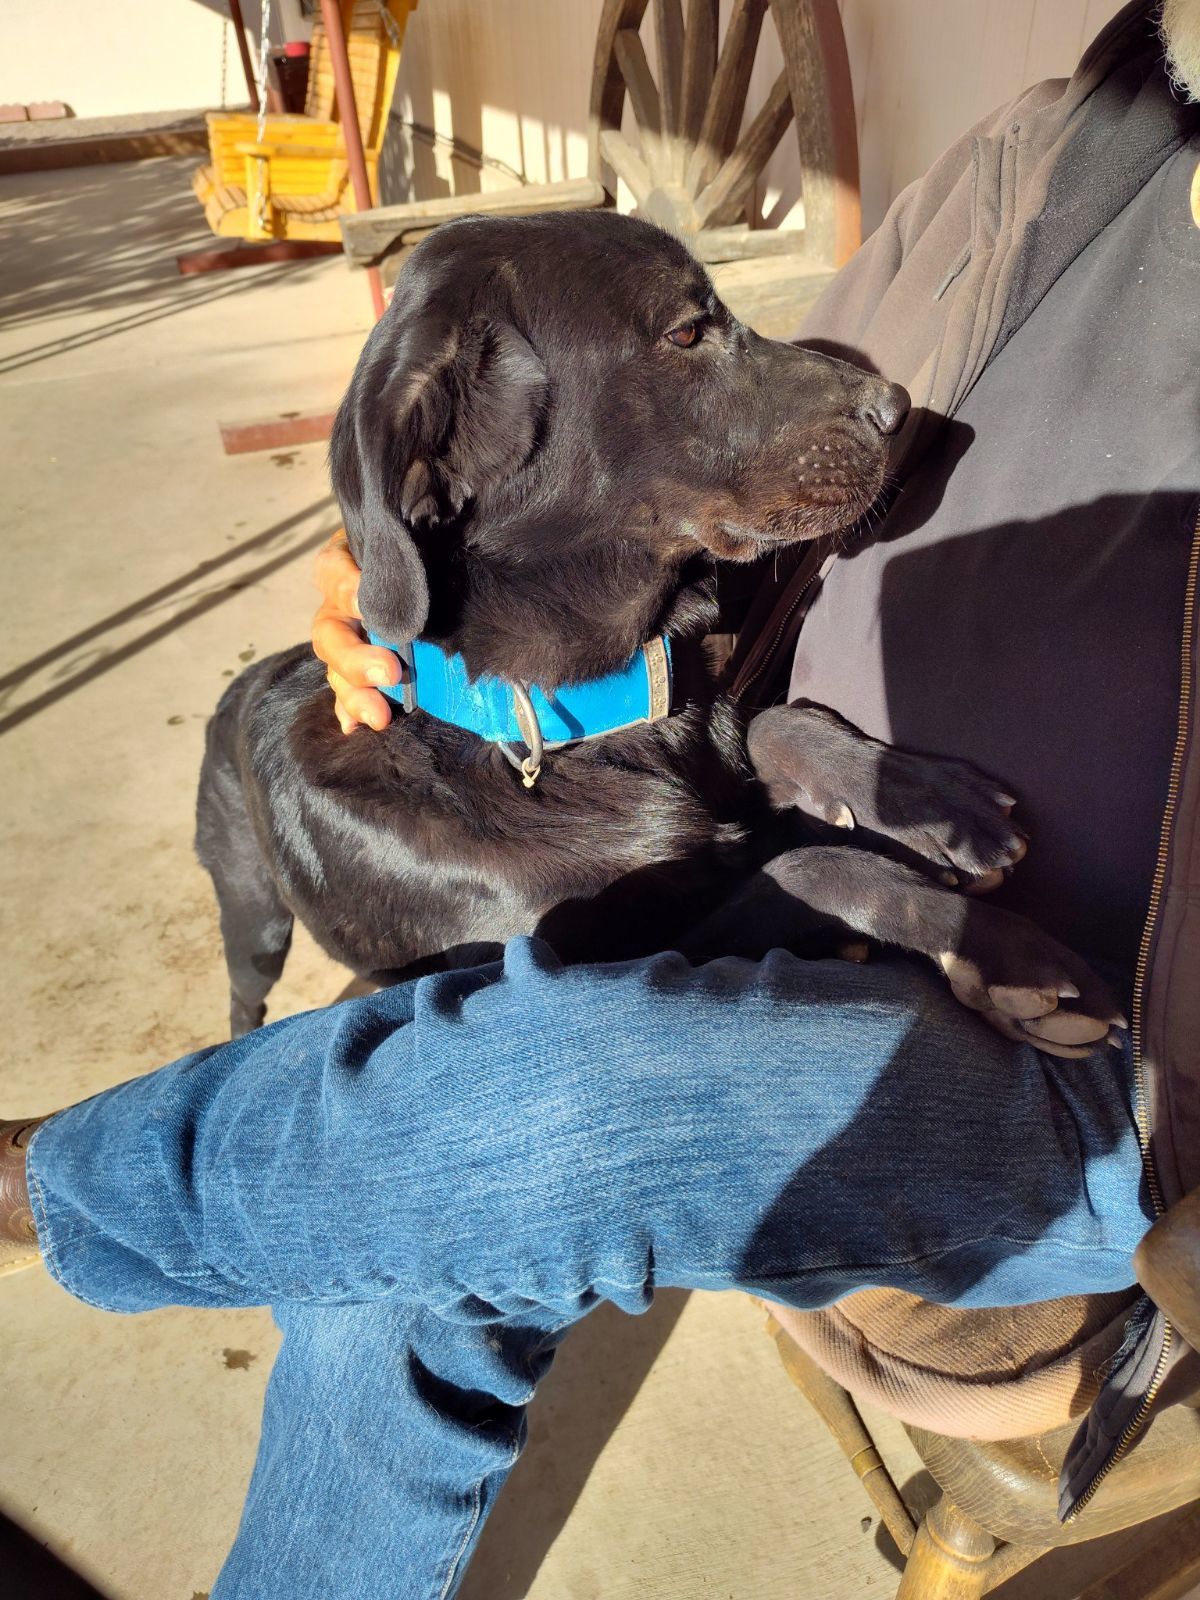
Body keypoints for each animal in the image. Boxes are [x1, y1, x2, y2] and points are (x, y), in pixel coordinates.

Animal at [195, 206, 1120, 1043]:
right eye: (685, 333)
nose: (899, 408)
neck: (578, 725)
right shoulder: (603, 964)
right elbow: (804, 864)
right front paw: (992, 947)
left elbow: (774, 722)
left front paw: (923, 795)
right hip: (251, 913)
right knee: (244, 992)